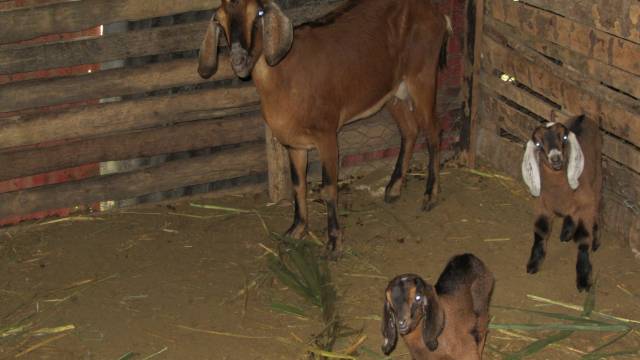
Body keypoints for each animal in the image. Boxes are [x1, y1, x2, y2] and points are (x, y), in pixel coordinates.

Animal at [198, 0, 452, 256]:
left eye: (258, 13)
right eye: (219, 20)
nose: (238, 60)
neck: (285, 77)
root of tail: (438, 15)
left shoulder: (327, 135)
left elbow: (329, 188)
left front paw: (334, 242)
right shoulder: (294, 144)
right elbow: (298, 185)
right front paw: (297, 230)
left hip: (422, 77)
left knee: (433, 130)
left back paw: (431, 194)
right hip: (392, 92)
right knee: (409, 130)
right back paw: (394, 188)